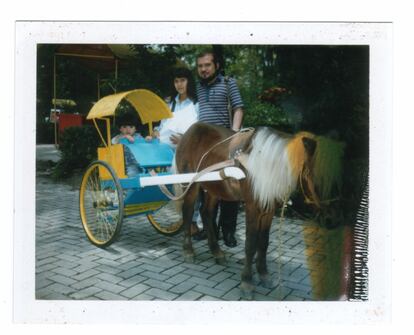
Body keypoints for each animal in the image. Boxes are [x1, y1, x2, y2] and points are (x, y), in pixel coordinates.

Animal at [175, 121, 340, 300]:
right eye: (318, 178)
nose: (333, 220)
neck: (265, 166)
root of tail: (189, 132)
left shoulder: (268, 210)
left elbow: (263, 242)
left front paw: (264, 275)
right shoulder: (252, 207)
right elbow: (251, 244)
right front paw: (247, 282)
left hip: (215, 189)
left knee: (206, 213)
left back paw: (217, 252)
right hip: (190, 184)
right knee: (188, 212)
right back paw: (188, 251)